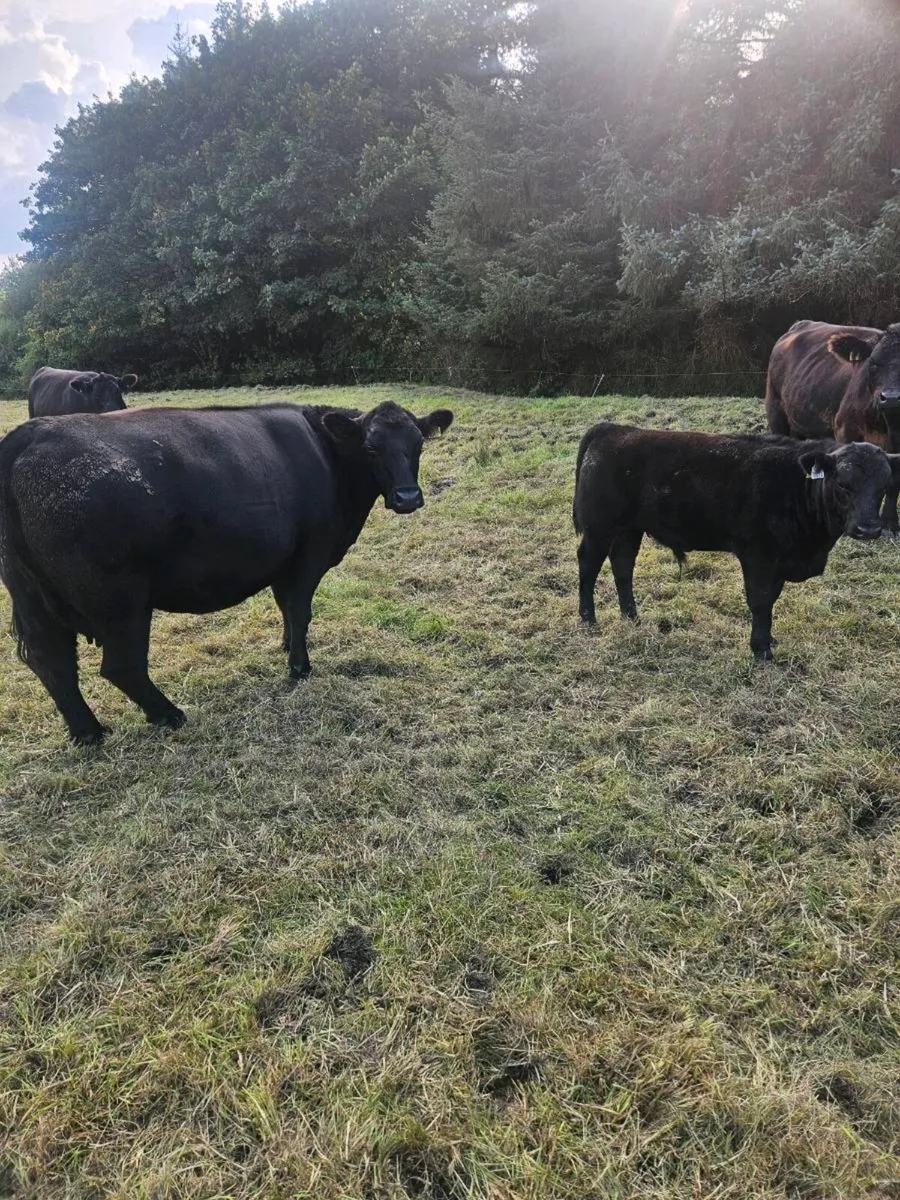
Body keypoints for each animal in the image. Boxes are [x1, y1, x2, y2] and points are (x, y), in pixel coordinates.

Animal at [0, 400, 453, 744]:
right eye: (371, 447)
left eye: (418, 444)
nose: (408, 497)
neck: (328, 457)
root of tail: (31, 433)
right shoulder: (310, 554)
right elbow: (300, 609)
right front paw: (300, 668)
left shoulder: (283, 560)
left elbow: (286, 609)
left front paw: (285, 648)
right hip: (119, 600)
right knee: (121, 666)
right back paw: (169, 715)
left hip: (33, 597)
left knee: (51, 662)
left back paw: (88, 733)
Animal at [573, 422, 900, 661]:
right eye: (843, 485)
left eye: (884, 486)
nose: (869, 529)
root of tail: (613, 428)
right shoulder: (758, 556)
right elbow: (760, 600)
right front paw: (761, 650)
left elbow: (771, 600)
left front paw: (768, 639)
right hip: (599, 527)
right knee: (589, 564)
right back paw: (588, 618)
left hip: (629, 529)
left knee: (623, 566)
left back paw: (631, 617)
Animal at [765, 320, 900, 531]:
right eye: (874, 363)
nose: (892, 398)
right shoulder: (846, 428)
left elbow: (894, 484)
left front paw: (890, 521)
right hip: (775, 411)